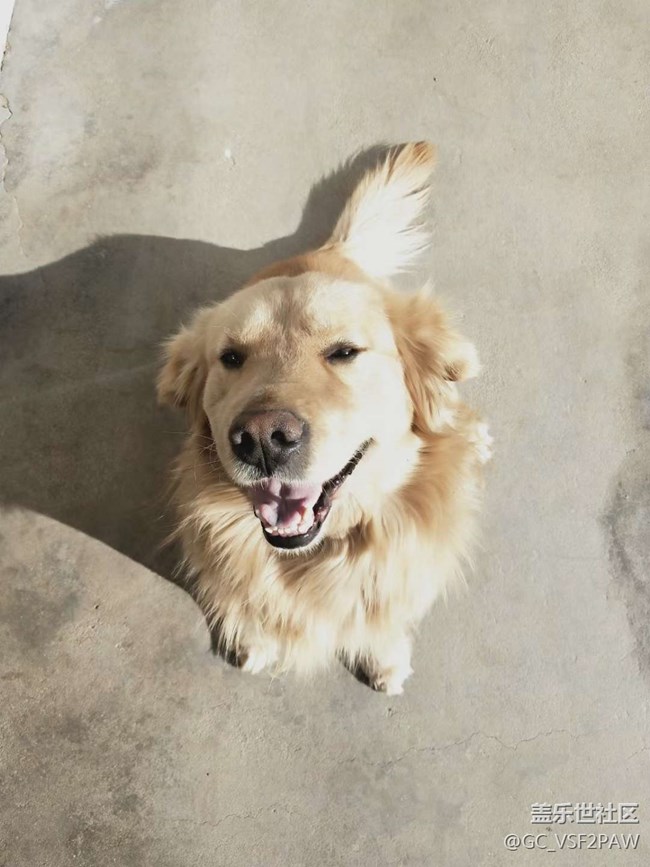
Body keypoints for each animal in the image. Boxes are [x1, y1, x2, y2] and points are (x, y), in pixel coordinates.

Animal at [157, 142, 491, 694]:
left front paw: (383, 657)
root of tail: (330, 251)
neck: (317, 556)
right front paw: (252, 639)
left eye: (344, 352)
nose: (263, 438)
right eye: (231, 357)